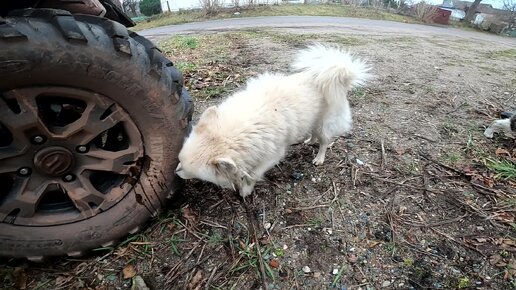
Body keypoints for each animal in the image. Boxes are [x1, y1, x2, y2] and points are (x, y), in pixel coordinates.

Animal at [176, 43, 370, 197]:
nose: (175, 171)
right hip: (313, 121)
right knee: (313, 133)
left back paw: (319, 158)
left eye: (188, 170)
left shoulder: (272, 155)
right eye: (180, 160)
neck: (244, 127)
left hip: (324, 124)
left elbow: (253, 175)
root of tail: (338, 74)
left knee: (324, 141)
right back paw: (309, 141)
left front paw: (245, 190)